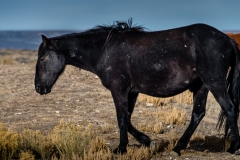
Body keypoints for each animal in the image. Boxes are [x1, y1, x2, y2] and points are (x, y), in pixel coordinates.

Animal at [34, 19, 240, 155]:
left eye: (42, 58)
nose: (38, 87)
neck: (104, 51)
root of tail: (228, 40)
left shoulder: (119, 90)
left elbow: (121, 118)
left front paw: (121, 148)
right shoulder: (131, 92)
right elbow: (128, 118)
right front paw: (147, 142)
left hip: (214, 82)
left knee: (229, 108)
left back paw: (233, 148)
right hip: (201, 86)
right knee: (198, 114)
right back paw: (177, 148)